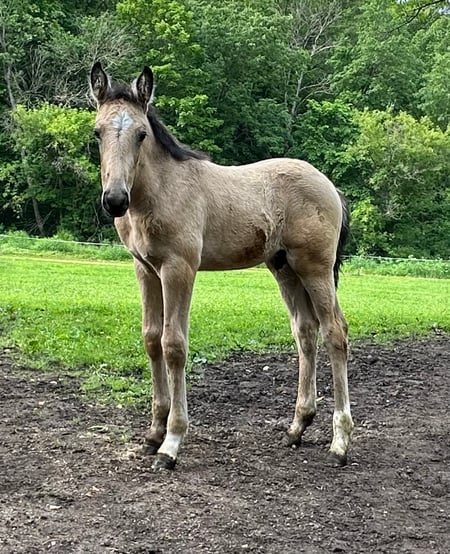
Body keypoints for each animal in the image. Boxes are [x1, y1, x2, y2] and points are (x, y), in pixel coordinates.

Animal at [89, 62, 354, 471]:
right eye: (97, 133)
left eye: (141, 134)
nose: (115, 199)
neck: (159, 193)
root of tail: (330, 186)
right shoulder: (145, 269)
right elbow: (151, 339)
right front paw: (152, 434)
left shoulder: (179, 268)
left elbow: (173, 345)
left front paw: (171, 443)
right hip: (284, 268)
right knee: (305, 332)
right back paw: (296, 428)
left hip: (316, 267)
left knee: (335, 332)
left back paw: (340, 443)